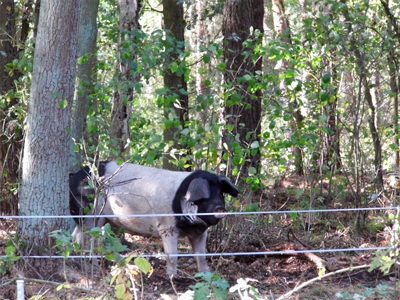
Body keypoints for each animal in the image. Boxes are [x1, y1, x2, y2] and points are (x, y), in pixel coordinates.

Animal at [69, 162, 239, 276]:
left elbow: (201, 255)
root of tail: (74, 178)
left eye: (220, 194)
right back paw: (94, 268)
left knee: (75, 236)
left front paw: (206, 275)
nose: (220, 208)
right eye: (205, 197)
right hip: (89, 214)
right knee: (87, 240)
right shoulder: (167, 227)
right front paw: (171, 277)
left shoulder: (200, 233)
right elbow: (173, 255)